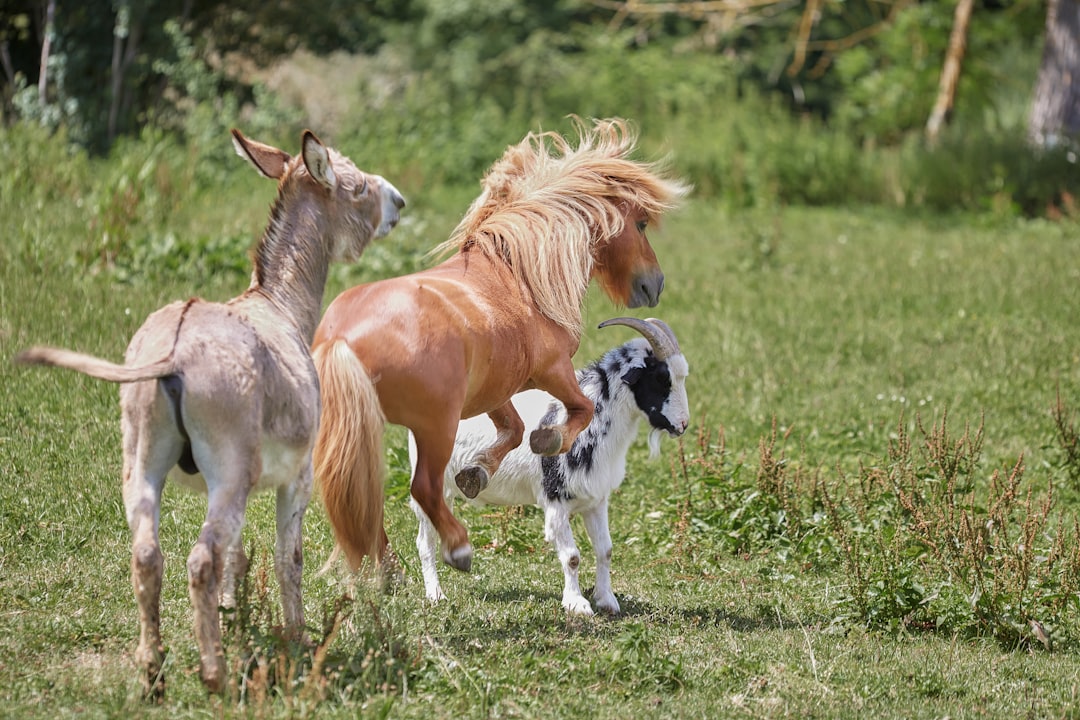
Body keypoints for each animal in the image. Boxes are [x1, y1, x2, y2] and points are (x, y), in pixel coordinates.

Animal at [308, 120, 686, 578]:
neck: (518, 273)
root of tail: (340, 339)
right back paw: (457, 548)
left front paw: (478, 473)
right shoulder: (554, 370)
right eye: (642, 224)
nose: (655, 285)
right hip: (435, 426)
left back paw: (388, 569)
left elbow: (515, 429)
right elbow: (579, 410)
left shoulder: (497, 389)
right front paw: (550, 440)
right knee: (423, 488)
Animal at [406, 317, 691, 617]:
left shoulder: (596, 499)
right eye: (661, 378)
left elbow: (605, 550)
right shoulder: (556, 500)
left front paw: (607, 600)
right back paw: (436, 594)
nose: (683, 425)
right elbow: (572, 556)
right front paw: (577, 604)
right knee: (425, 541)